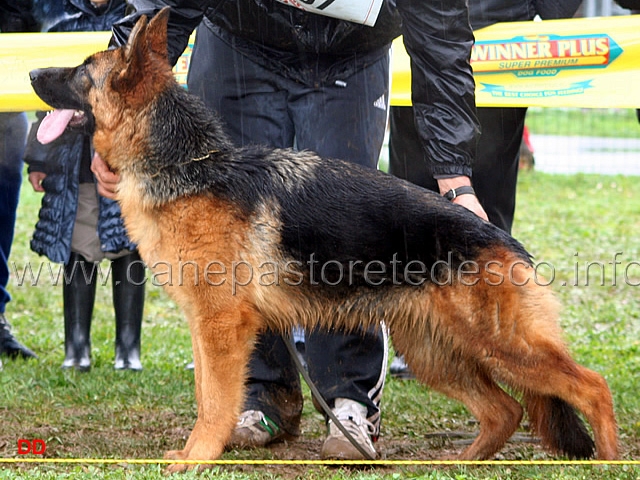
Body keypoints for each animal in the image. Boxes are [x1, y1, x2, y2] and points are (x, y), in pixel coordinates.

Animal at [28, 8, 616, 472]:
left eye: (82, 72)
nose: (31, 68)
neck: (188, 166)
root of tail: (500, 238)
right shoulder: (207, 327)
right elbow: (206, 398)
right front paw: (200, 452)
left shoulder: (221, 327)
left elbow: (214, 404)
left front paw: (197, 458)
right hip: (435, 351)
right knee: (506, 410)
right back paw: (461, 462)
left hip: (502, 346)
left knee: (591, 385)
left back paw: (610, 460)